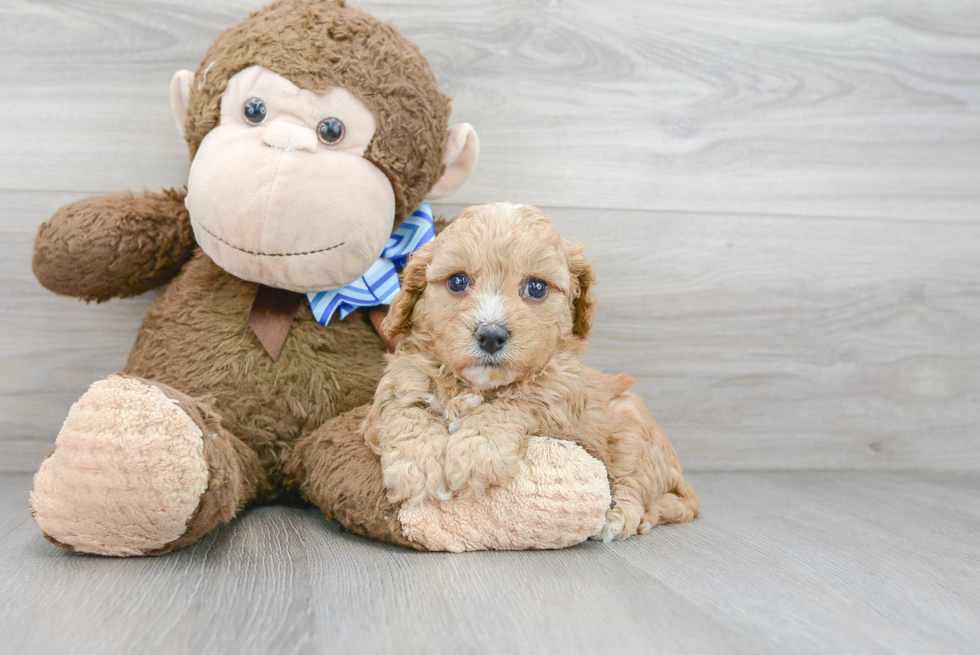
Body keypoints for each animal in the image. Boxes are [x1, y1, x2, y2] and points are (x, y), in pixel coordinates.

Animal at [366, 202, 696, 540]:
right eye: (457, 281)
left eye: (537, 288)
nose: (491, 335)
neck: (477, 386)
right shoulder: (399, 386)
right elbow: (407, 414)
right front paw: (417, 467)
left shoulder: (559, 403)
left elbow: (513, 405)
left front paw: (477, 452)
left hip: (633, 430)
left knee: (636, 486)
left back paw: (617, 518)